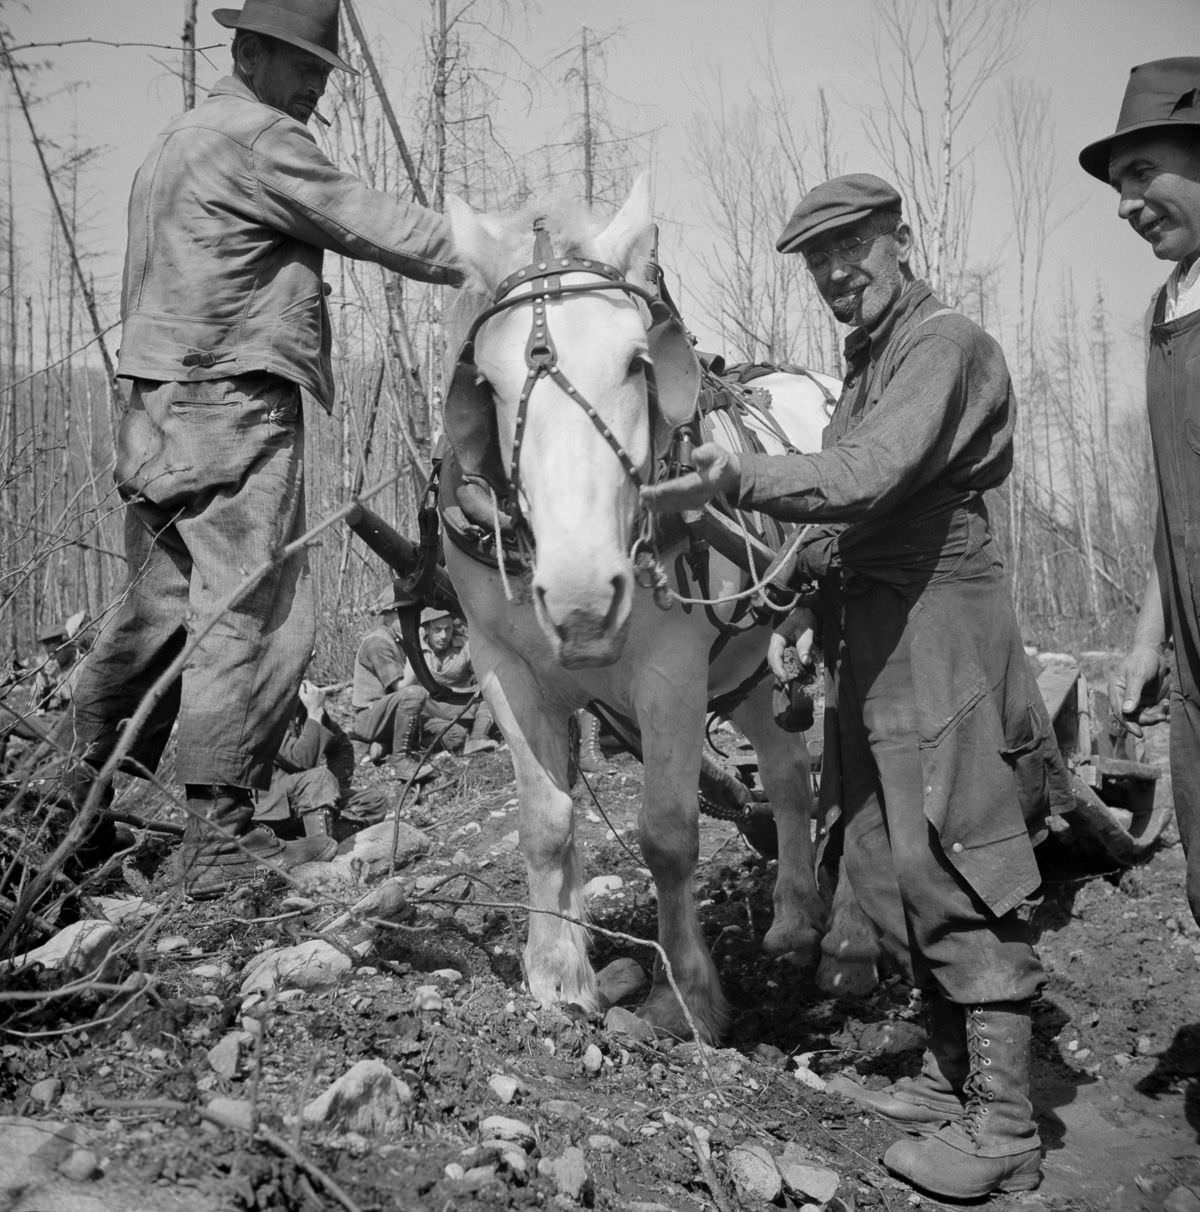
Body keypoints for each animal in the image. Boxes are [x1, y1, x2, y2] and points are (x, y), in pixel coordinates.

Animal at [436, 175, 867, 1037]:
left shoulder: (671, 672)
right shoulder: (504, 667)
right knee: (785, 772)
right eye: (485, 385)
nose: (580, 600)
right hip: (749, 661)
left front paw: (688, 995)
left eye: (639, 364)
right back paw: (793, 918)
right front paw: (558, 978)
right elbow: (546, 823)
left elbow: (668, 837)